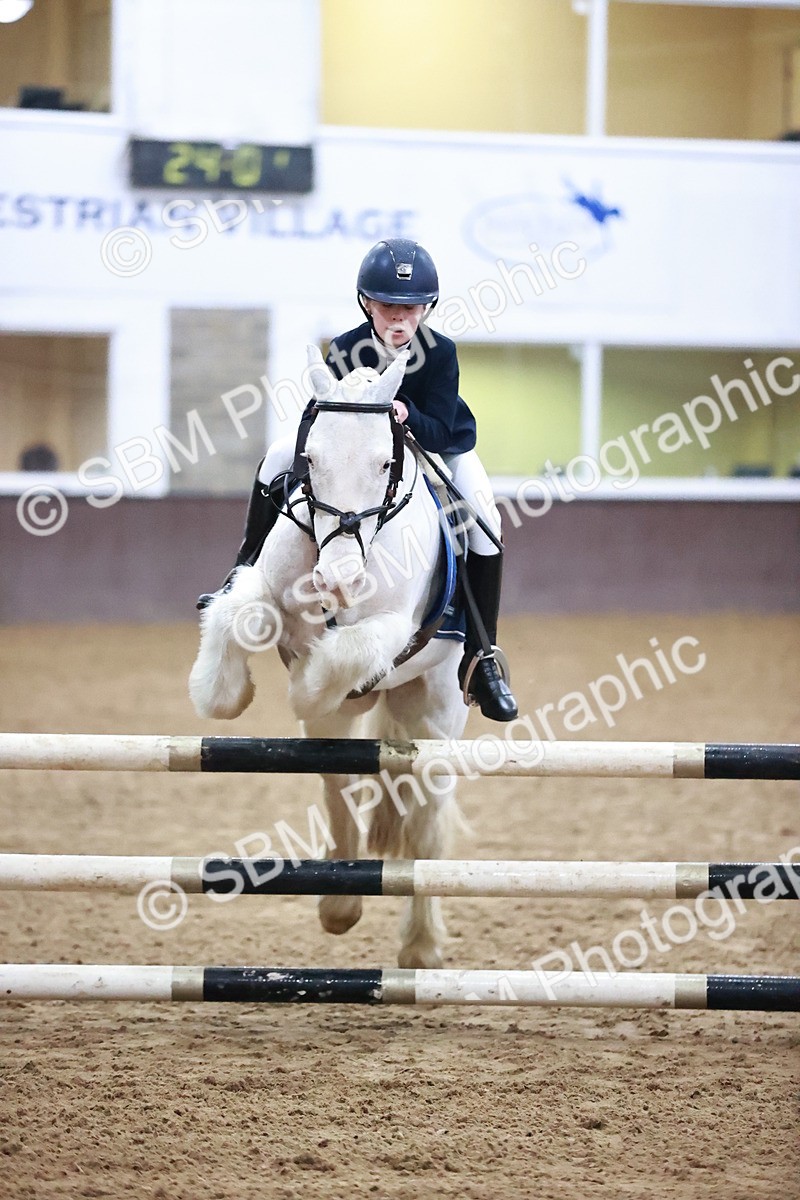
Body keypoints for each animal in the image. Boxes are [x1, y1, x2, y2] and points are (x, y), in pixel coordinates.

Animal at [189, 345, 469, 967]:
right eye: (310, 460)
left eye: (385, 464)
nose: (337, 581)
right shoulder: (267, 586)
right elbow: (238, 613)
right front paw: (223, 694)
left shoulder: (392, 628)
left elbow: (345, 653)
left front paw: (306, 683)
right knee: (338, 778)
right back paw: (340, 902)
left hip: (436, 714)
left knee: (428, 827)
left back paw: (420, 946)